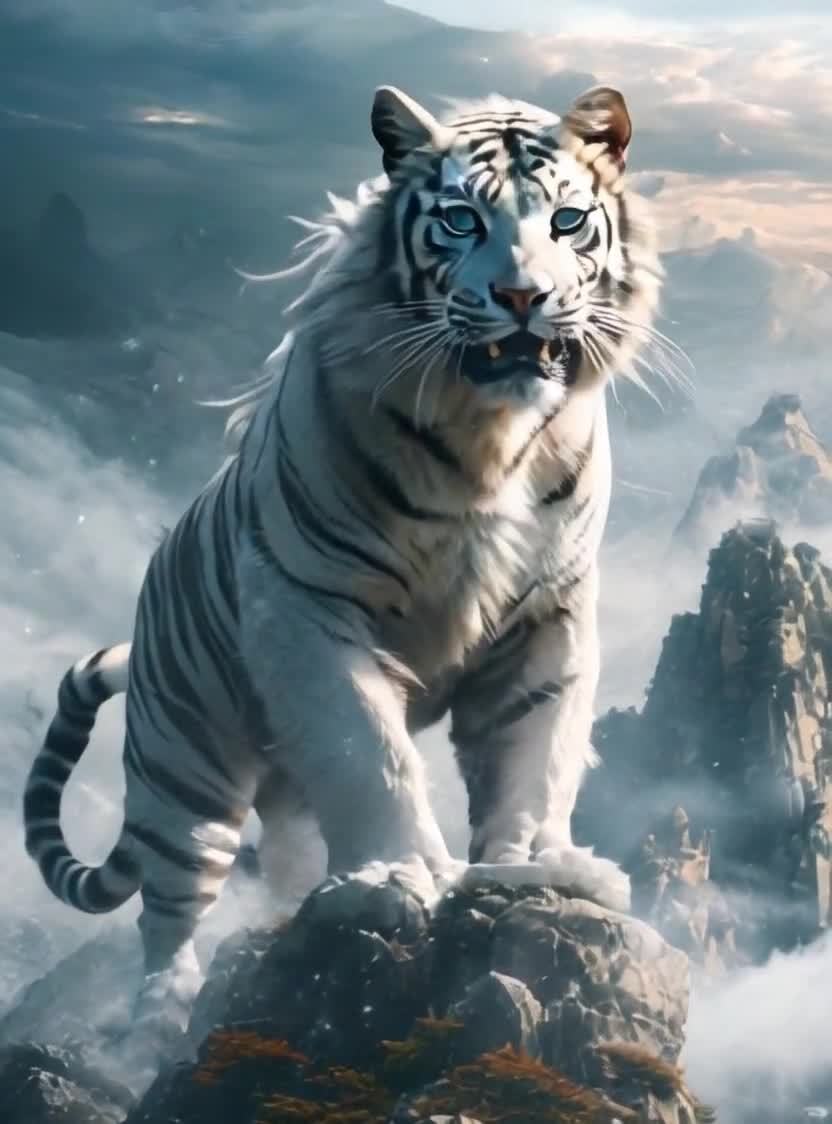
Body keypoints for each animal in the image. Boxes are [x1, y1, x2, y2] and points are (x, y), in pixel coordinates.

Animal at [23, 83, 664, 1044]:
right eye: (462, 221)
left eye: (567, 220)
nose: (524, 296)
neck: (490, 439)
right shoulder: (307, 606)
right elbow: (370, 752)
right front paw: (394, 879)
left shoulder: (548, 613)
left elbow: (535, 748)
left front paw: (536, 867)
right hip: (186, 778)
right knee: (168, 913)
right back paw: (164, 1017)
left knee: (282, 854)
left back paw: (294, 911)